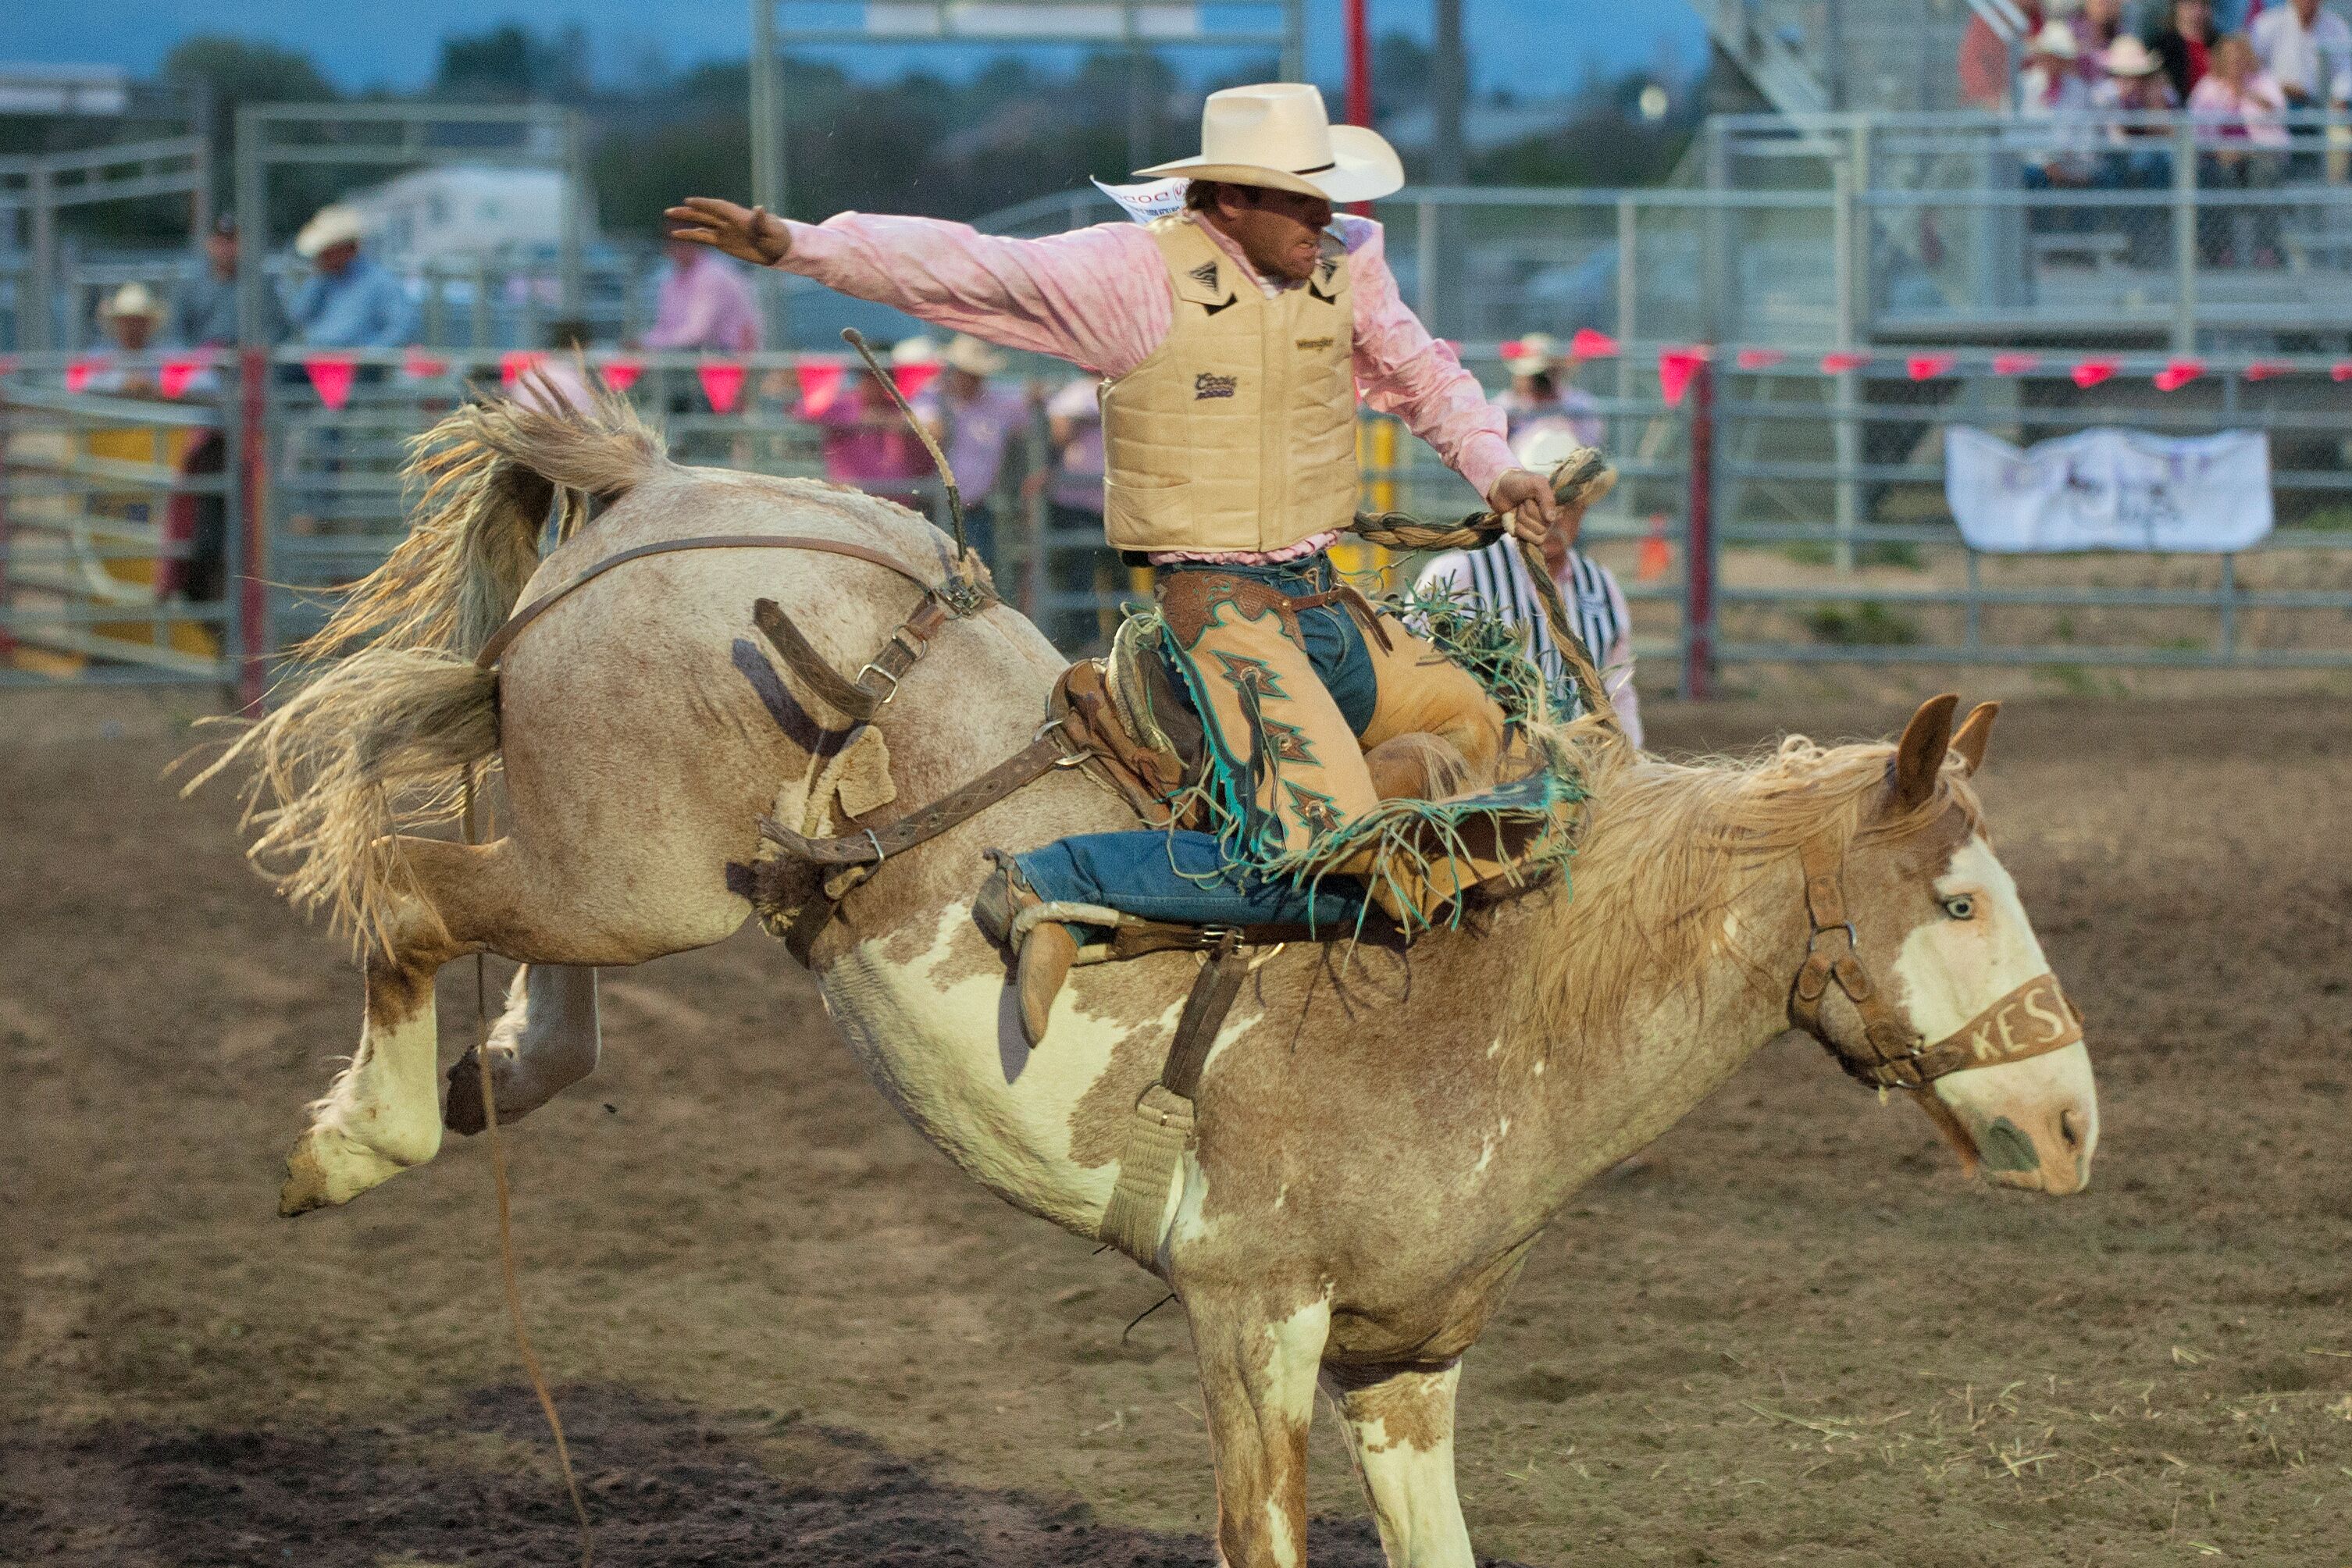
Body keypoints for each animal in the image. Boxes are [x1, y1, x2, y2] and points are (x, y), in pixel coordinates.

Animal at [207, 390, 2116, 1568]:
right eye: (1957, 894)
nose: (2074, 1123)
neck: (1484, 993)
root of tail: (653, 486)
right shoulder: (1250, 1312)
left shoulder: (1406, 1360)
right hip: (621, 870)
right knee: (409, 894)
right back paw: (353, 1139)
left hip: (627, 874)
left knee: (496, 938)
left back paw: (487, 1077)